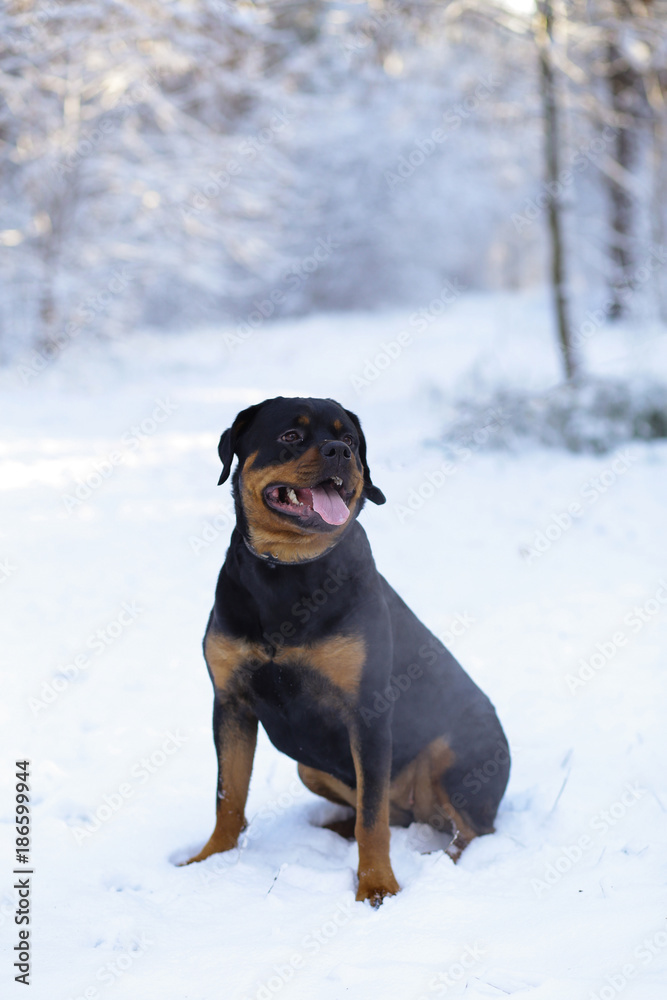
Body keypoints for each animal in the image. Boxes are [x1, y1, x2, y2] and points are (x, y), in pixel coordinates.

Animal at [185, 394, 508, 904]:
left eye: (352, 441)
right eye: (290, 435)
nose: (340, 452)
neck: (287, 573)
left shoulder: (368, 712)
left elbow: (372, 819)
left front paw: (377, 886)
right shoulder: (230, 703)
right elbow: (228, 796)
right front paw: (210, 860)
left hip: (456, 755)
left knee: (468, 831)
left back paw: (438, 860)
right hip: (309, 768)